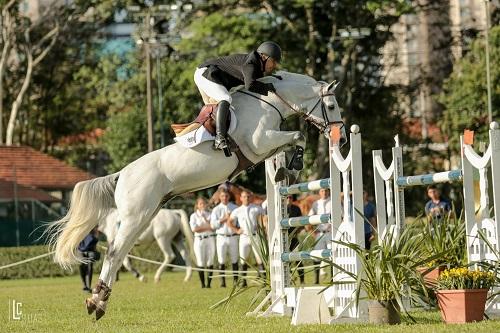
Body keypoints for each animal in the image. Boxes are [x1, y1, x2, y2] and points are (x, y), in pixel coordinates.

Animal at [47, 70, 344, 320]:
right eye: (331, 106)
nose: (339, 138)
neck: (268, 101)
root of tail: (121, 174)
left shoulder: (267, 147)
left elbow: (290, 142)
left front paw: (285, 170)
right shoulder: (262, 142)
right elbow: (298, 136)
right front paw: (291, 168)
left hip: (144, 218)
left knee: (120, 255)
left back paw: (100, 300)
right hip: (135, 218)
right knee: (113, 253)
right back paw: (97, 302)